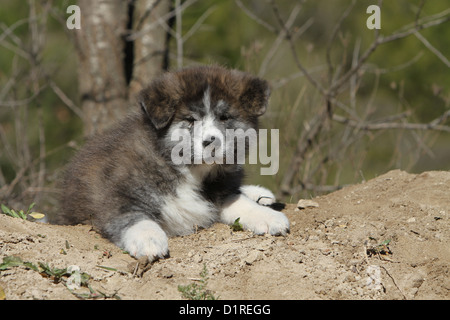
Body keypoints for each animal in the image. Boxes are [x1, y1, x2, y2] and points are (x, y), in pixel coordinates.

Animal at [52, 66, 290, 262]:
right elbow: (133, 217)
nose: (211, 142)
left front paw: (268, 217)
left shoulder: (219, 190)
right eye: (190, 120)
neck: (187, 170)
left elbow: (238, 201)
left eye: (224, 117)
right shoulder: (114, 196)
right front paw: (148, 239)